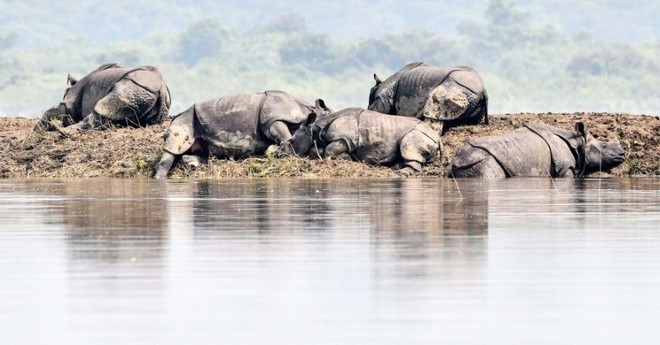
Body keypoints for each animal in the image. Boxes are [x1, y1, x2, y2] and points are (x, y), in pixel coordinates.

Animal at [34, 62, 171, 131]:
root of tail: (161, 89)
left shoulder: (70, 102)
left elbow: (58, 109)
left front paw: (38, 129)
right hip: (145, 94)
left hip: (134, 86)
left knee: (103, 106)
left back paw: (62, 132)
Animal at [153, 90, 330, 179]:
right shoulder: (272, 118)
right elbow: (281, 133)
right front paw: (282, 149)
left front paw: (273, 150)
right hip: (185, 118)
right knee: (174, 146)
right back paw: (159, 177)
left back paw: (192, 163)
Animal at [282, 107, 440, 175]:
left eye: (291, 141)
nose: (280, 154)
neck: (315, 130)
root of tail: (437, 137)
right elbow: (318, 151)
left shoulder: (345, 139)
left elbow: (329, 150)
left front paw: (346, 158)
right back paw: (396, 167)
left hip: (419, 134)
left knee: (408, 145)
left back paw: (403, 172)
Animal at [448, 120, 624, 177]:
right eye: (604, 145)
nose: (622, 154)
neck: (577, 142)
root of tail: (456, 160)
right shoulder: (564, 168)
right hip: (483, 161)